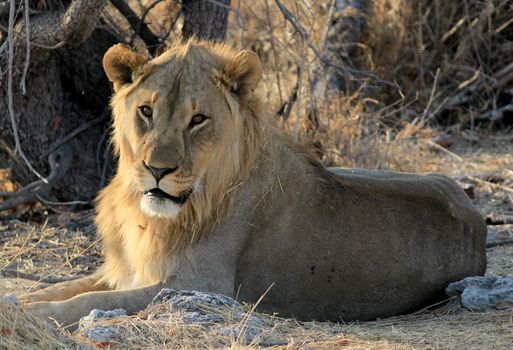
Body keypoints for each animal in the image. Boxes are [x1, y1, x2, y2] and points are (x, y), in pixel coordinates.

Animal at [20, 38, 484, 326]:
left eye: (198, 119)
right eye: (146, 111)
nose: (157, 170)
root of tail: (476, 220)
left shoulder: (196, 287)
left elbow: (91, 301)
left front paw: (33, 317)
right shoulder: (126, 270)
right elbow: (65, 288)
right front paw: (19, 302)